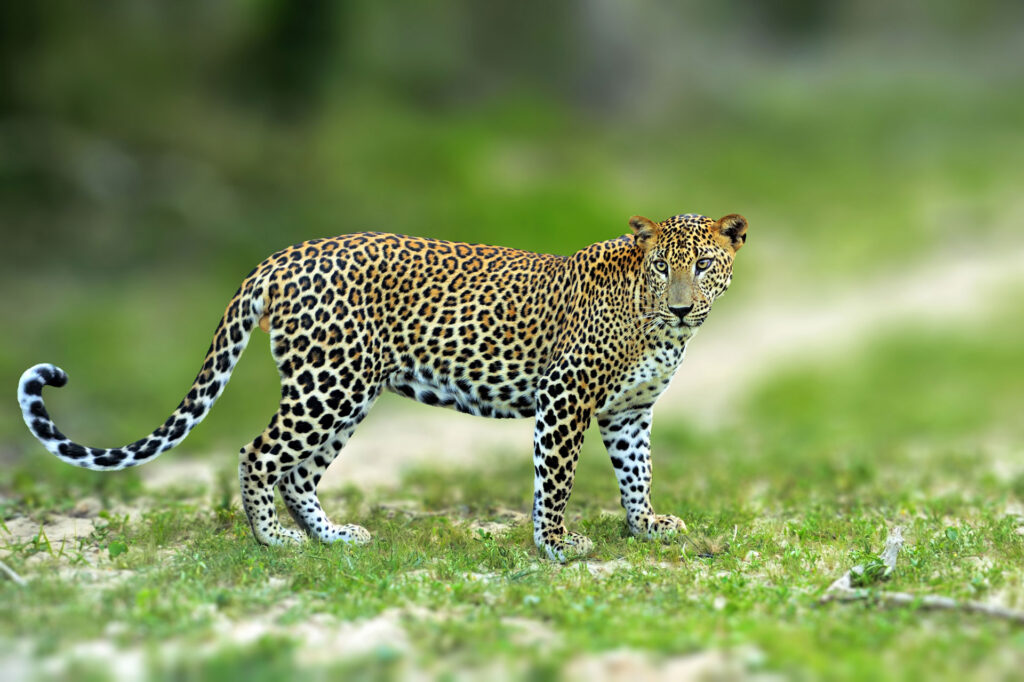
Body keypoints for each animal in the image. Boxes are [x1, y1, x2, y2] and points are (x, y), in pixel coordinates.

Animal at [19, 210, 749, 557]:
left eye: (704, 265)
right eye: (662, 267)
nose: (682, 307)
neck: (660, 328)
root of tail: (282, 256)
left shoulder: (629, 412)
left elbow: (637, 471)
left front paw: (647, 526)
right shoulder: (564, 399)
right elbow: (557, 480)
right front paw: (557, 545)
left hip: (348, 390)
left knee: (299, 472)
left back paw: (332, 538)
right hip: (329, 385)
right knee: (259, 453)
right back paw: (273, 541)